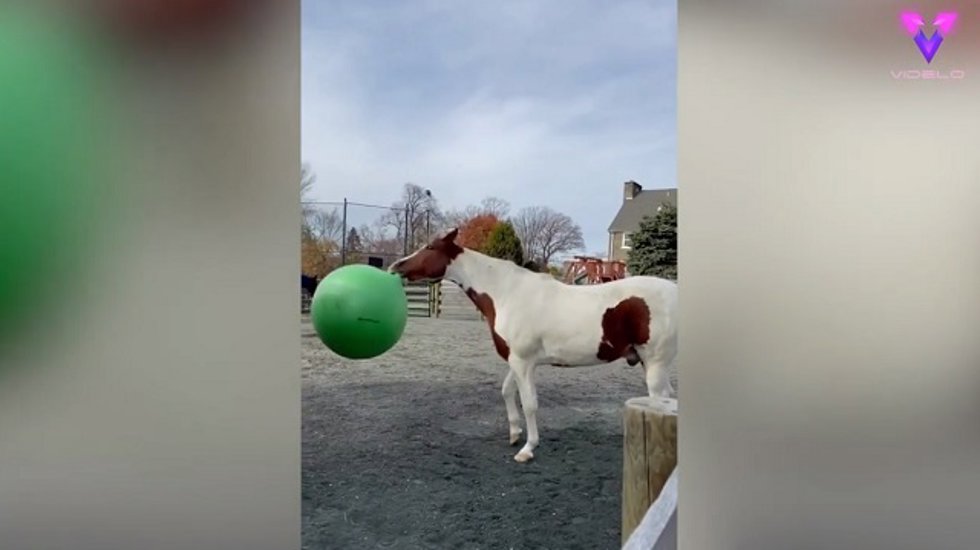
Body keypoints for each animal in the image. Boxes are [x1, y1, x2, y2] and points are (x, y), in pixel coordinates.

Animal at [388, 228, 677, 463]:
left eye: (430, 247)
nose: (396, 266)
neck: (507, 293)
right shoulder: (516, 360)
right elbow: (507, 391)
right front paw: (515, 433)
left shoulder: (523, 361)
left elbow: (529, 403)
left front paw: (528, 448)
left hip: (655, 365)